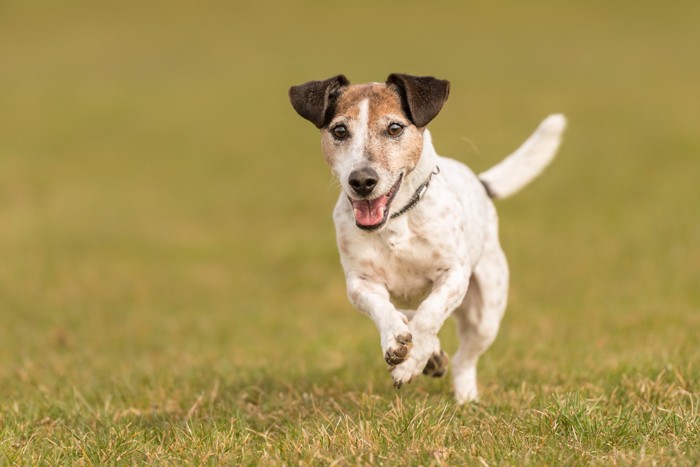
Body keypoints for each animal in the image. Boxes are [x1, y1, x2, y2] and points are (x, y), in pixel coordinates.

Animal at [288, 74, 568, 402]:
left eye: (394, 128)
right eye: (340, 131)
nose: (362, 180)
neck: (396, 220)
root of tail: (480, 183)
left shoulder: (453, 275)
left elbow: (430, 314)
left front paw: (410, 363)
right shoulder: (360, 283)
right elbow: (384, 309)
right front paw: (396, 341)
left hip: (486, 313)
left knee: (462, 358)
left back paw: (465, 397)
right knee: (407, 312)